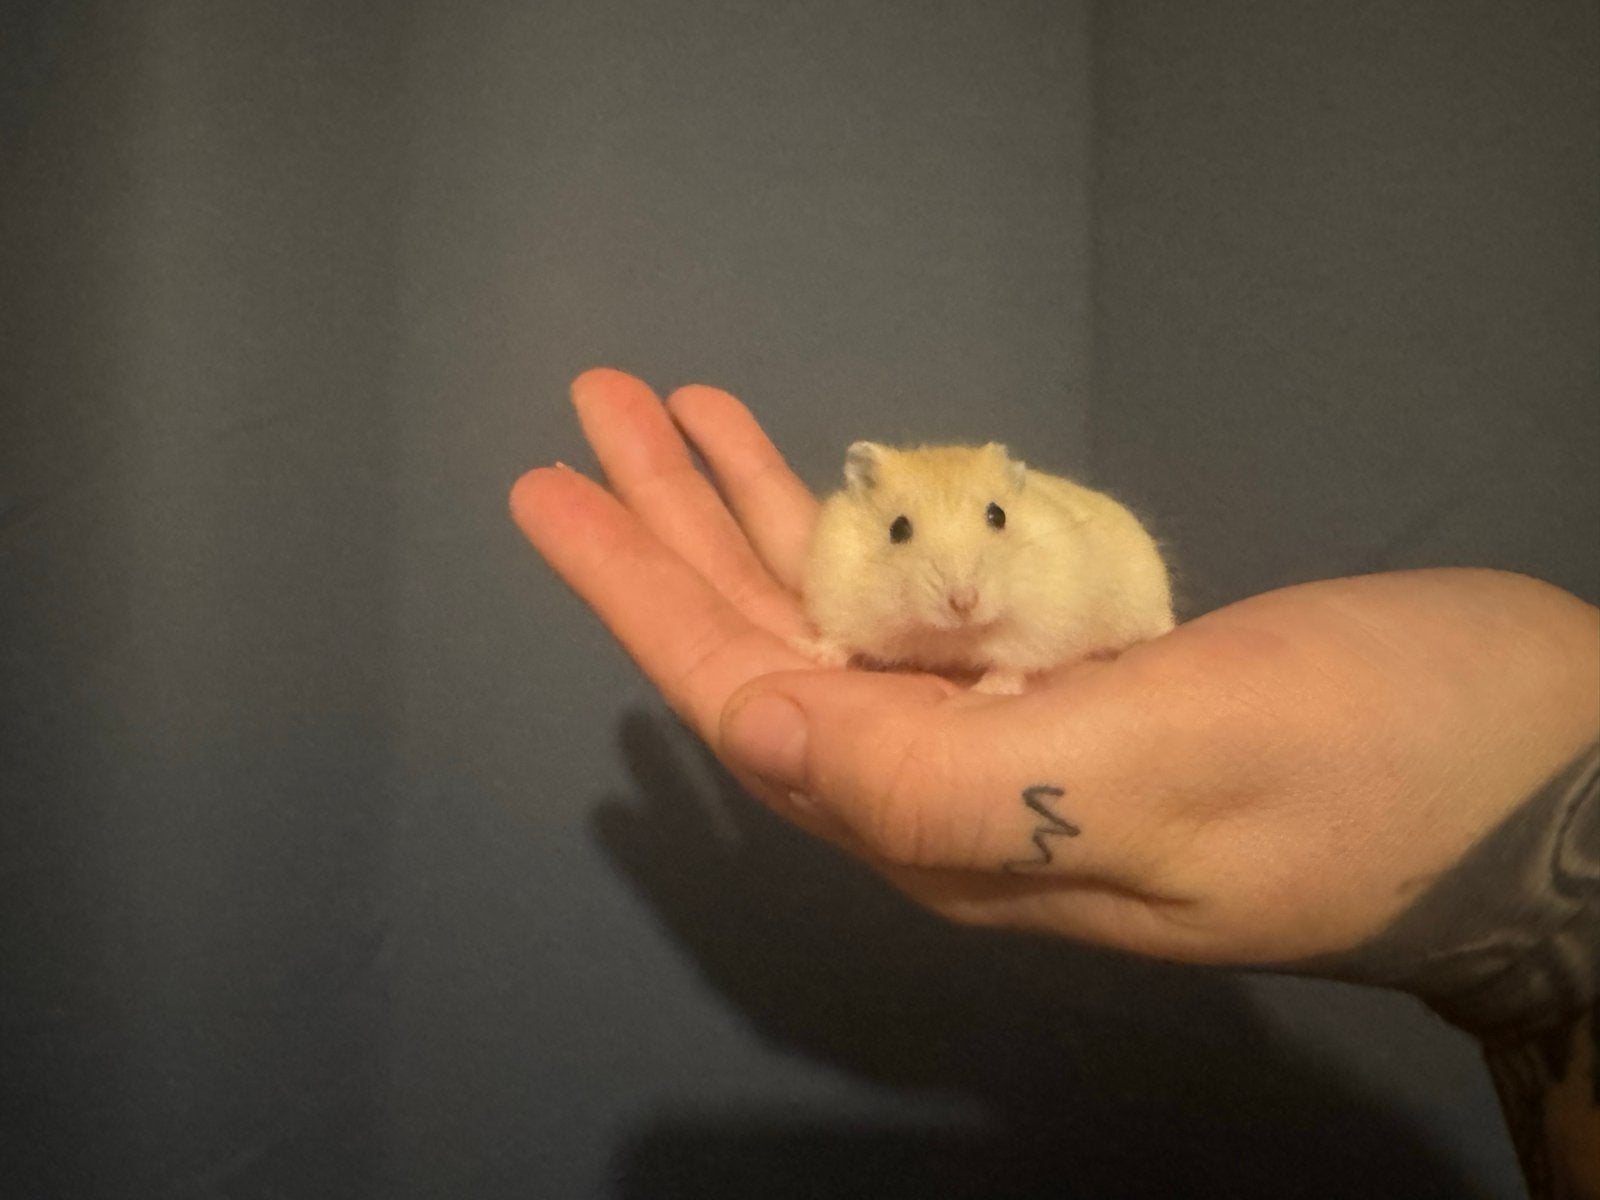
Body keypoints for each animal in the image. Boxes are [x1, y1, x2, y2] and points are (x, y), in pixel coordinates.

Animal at [800, 441, 1174, 694]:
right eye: (898, 529)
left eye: (998, 515)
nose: (964, 604)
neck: (954, 634)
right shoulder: (842, 599)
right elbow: (841, 639)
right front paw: (815, 655)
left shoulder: (1039, 625)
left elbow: (1012, 662)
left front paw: (991, 688)